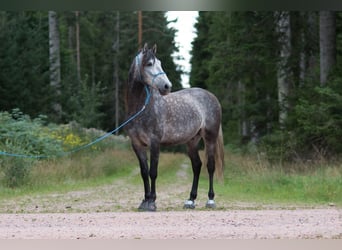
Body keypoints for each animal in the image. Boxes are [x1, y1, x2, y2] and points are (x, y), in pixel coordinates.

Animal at [124, 43, 223, 211]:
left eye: (160, 63)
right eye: (149, 64)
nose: (167, 86)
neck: (142, 108)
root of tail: (211, 96)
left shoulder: (154, 142)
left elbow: (153, 172)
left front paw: (152, 202)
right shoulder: (137, 144)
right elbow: (144, 172)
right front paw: (144, 201)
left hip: (210, 138)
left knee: (210, 166)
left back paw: (210, 200)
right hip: (192, 141)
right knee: (197, 165)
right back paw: (190, 200)